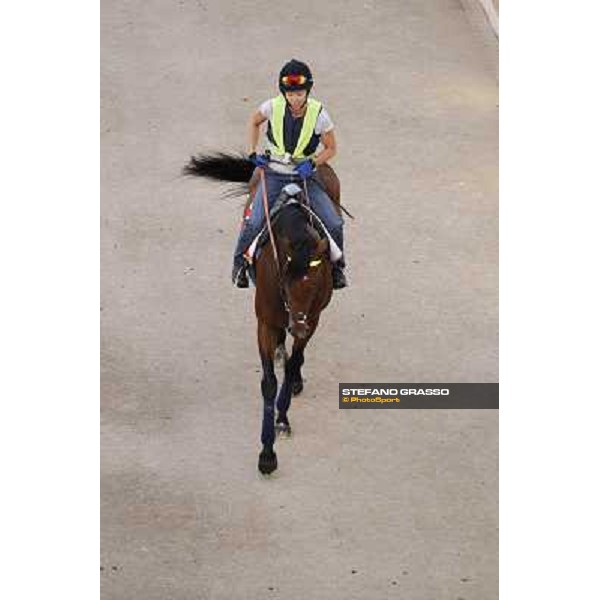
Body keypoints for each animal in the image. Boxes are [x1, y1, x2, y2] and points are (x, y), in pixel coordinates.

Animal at [183, 154, 340, 474]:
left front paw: (283, 419)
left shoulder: (313, 316)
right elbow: (268, 383)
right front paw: (267, 454)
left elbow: (293, 365)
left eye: (318, 282)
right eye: (284, 282)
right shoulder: (265, 321)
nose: (298, 327)